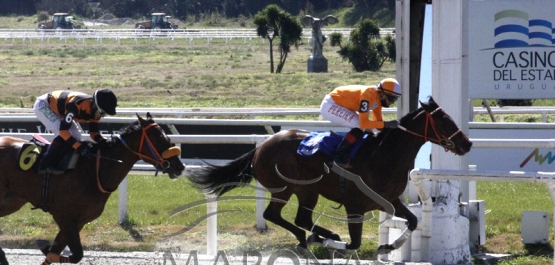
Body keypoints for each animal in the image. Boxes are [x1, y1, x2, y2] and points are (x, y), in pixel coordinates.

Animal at [0, 112, 187, 262]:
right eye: (159, 138)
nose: (179, 166)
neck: (92, 170)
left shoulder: (78, 221)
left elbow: (57, 253)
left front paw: (45, 247)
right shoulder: (63, 216)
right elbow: (74, 255)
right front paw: (43, 245)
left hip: (11, 202)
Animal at [190, 97, 474, 254]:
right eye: (444, 120)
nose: (467, 143)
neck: (383, 156)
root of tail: (262, 146)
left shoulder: (391, 200)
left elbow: (413, 221)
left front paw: (388, 246)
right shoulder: (355, 206)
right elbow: (355, 244)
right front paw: (330, 243)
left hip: (307, 190)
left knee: (302, 218)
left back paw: (317, 236)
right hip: (284, 188)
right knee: (273, 215)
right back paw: (309, 239)